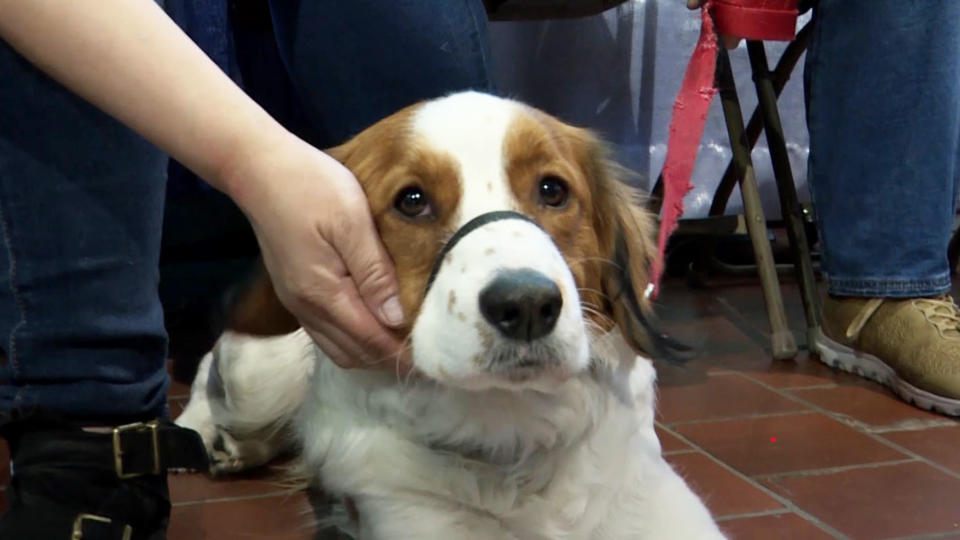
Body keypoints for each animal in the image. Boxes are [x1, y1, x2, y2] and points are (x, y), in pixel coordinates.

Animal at [176, 90, 724, 536]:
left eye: (552, 190)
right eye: (412, 200)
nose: (527, 305)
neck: (509, 429)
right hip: (258, 378)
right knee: (210, 372)